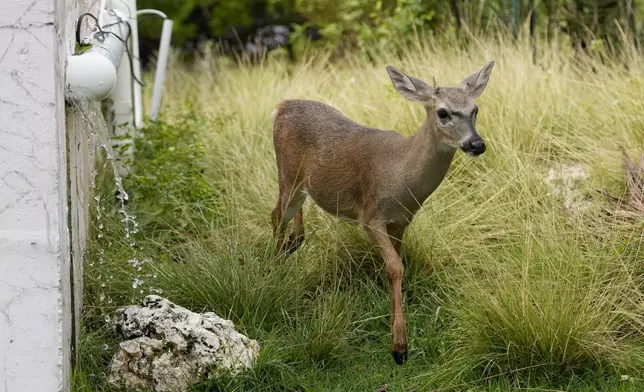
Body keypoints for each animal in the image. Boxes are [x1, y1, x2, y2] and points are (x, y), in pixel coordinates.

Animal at [270, 61, 496, 364]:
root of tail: (280, 107)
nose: (476, 144)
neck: (401, 175)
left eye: (475, 109)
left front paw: (393, 325)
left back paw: (292, 245)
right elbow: (395, 267)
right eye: (443, 112)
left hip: (300, 184)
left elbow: (396, 266)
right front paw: (399, 346)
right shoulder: (371, 216)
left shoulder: (401, 222)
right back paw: (275, 271)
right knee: (276, 216)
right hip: (287, 175)